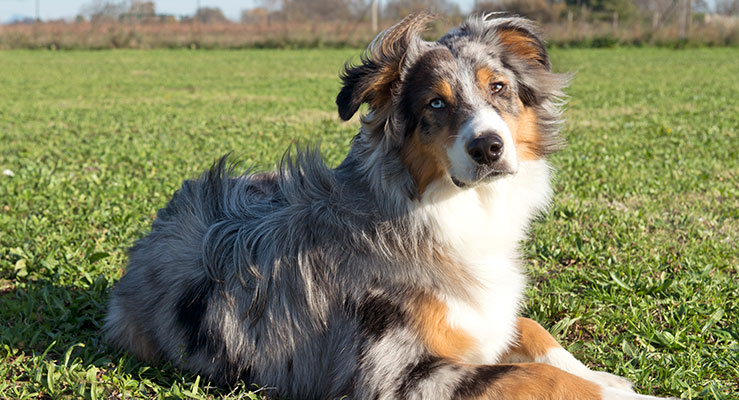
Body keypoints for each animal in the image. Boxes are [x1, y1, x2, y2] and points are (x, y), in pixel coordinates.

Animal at [105, 10, 676, 398]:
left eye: (499, 88)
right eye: (435, 103)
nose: (488, 147)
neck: (451, 209)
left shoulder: (482, 314)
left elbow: (534, 332)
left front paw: (603, 374)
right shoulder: (396, 374)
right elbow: (533, 375)